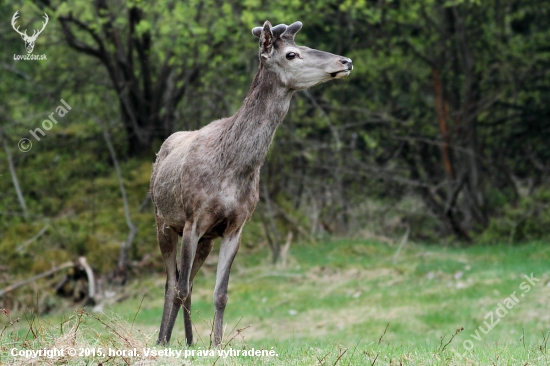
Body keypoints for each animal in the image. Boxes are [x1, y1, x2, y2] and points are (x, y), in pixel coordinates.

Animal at [151, 19, 354, 346]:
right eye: (292, 54)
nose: (345, 61)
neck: (234, 167)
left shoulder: (235, 226)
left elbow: (220, 294)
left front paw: (216, 344)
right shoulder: (193, 220)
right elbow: (180, 288)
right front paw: (178, 344)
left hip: (206, 238)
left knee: (188, 282)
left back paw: (183, 341)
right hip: (163, 221)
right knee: (173, 283)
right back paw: (164, 339)